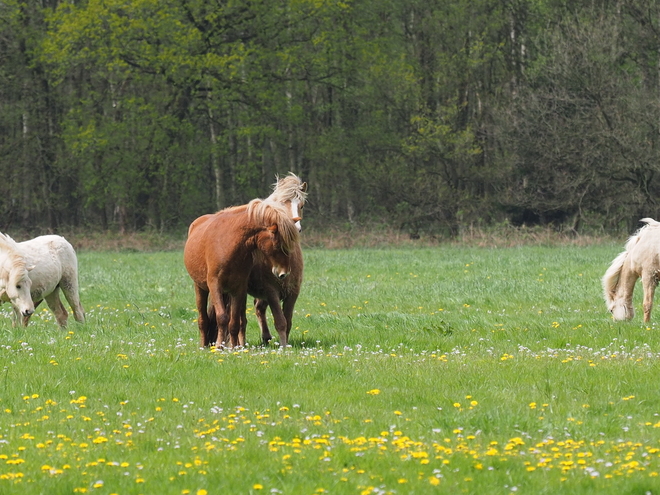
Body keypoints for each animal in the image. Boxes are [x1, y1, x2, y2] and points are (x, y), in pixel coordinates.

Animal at [184, 199, 300, 348]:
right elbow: (222, 318)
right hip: (200, 288)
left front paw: (234, 348)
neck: (228, 243)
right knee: (203, 319)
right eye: (279, 245)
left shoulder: (238, 288)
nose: (284, 273)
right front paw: (219, 346)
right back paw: (203, 346)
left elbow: (234, 322)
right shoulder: (215, 285)